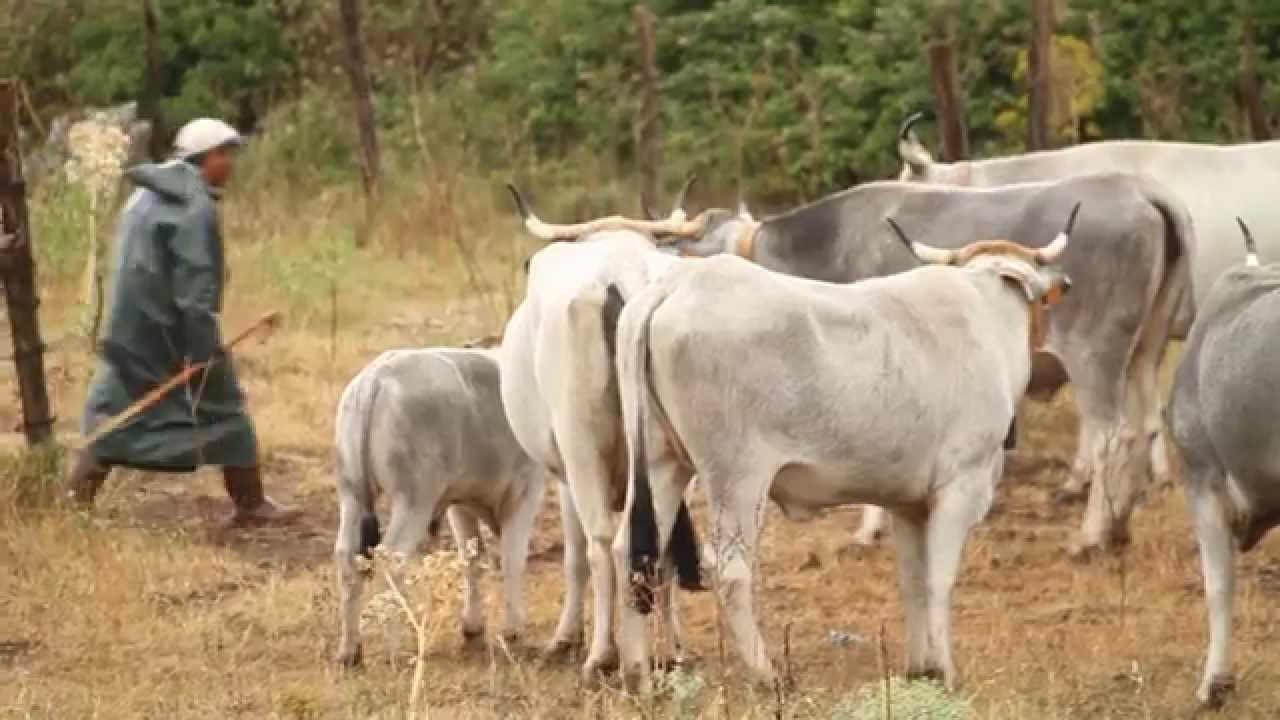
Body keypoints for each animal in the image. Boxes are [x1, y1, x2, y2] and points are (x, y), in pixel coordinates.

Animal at [332, 345, 542, 666]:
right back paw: (395, 649)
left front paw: (473, 627)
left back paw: (349, 651)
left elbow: (472, 558)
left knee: (347, 557)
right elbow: (513, 558)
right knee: (391, 559)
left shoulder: (461, 502)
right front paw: (513, 630)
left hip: (351, 494)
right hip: (413, 499)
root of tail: (376, 375)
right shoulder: (524, 490)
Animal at [499, 181, 706, 676]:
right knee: (651, 545)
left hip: (581, 448)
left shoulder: (564, 474)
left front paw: (566, 637)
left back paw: (601, 656)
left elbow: (575, 556)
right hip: (669, 454)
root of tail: (620, 277)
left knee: (601, 545)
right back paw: (669, 650)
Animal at [614, 208, 1075, 691]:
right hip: (737, 479)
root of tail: (675, 285)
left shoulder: (909, 504)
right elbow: (939, 579)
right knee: (730, 571)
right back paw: (766, 673)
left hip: (663, 464)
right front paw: (946, 671)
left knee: (630, 554)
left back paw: (636, 672)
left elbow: (913, 580)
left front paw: (920, 667)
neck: (985, 314)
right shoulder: (960, 487)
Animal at [634, 170, 1192, 550]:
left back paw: (1091, 534)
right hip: (1144, 351)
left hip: (1095, 354)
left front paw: (868, 528)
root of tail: (1140, 189)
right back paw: (1119, 524)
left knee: (1109, 436)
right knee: (1143, 426)